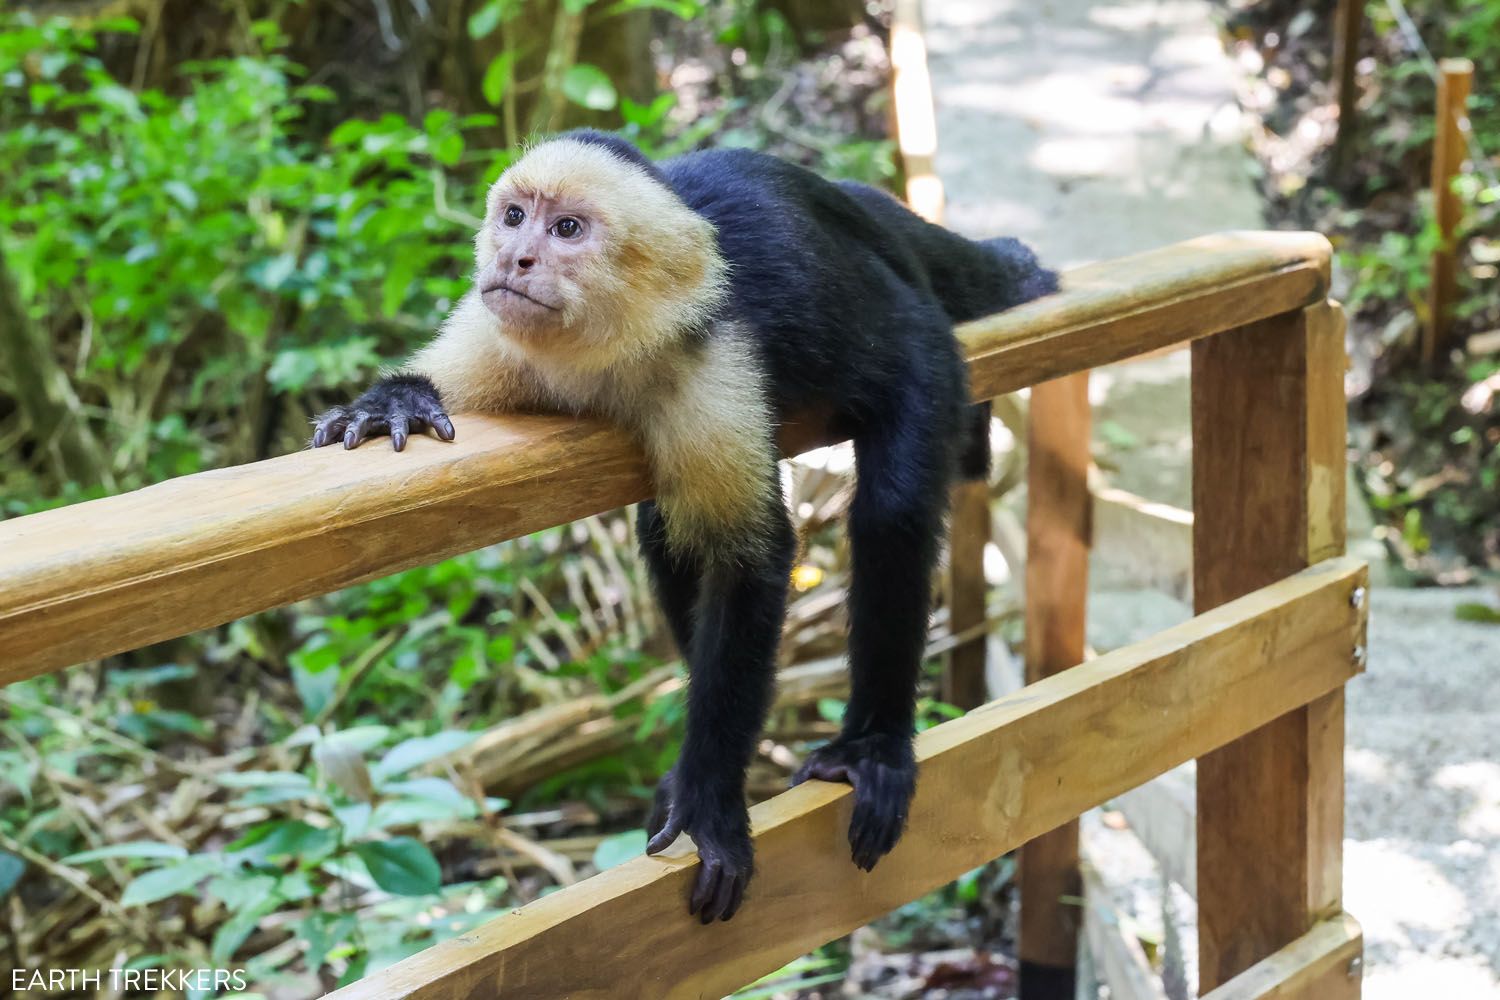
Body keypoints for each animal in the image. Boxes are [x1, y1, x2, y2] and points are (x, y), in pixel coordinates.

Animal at [312, 131, 1056, 923]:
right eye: (514, 217)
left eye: (566, 230)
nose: (513, 259)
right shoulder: (495, 330)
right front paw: (395, 400)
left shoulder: (711, 363)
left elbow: (749, 563)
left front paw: (707, 802)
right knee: (666, 533)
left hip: (924, 343)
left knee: (892, 509)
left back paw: (873, 747)